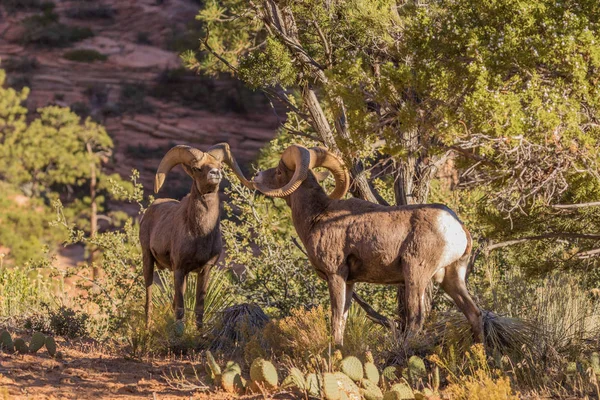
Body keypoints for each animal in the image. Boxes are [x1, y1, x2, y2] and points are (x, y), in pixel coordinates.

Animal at [141, 143, 253, 328]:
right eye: (197, 168)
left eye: (221, 166)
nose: (215, 173)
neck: (200, 234)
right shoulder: (179, 269)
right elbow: (180, 309)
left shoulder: (204, 270)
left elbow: (199, 309)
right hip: (148, 260)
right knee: (148, 299)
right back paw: (147, 327)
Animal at [252, 145, 482, 346]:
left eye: (279, 171)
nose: (256, 177)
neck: (317, 216)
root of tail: (456, 227)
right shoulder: (350, 282)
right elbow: (343, 320)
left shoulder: (335, 275)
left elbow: (336, 318)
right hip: (451, 277)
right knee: (474, 313)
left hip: (416, 274)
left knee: (416, 319)